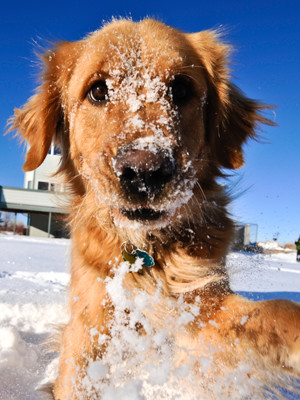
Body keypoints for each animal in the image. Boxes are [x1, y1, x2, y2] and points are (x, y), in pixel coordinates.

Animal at [9, 18, 300, 396]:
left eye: (181, 89)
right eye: (97, 91)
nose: (144, 171)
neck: (145, 251)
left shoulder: (201, 305)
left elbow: (279, 311)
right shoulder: (91, 321)